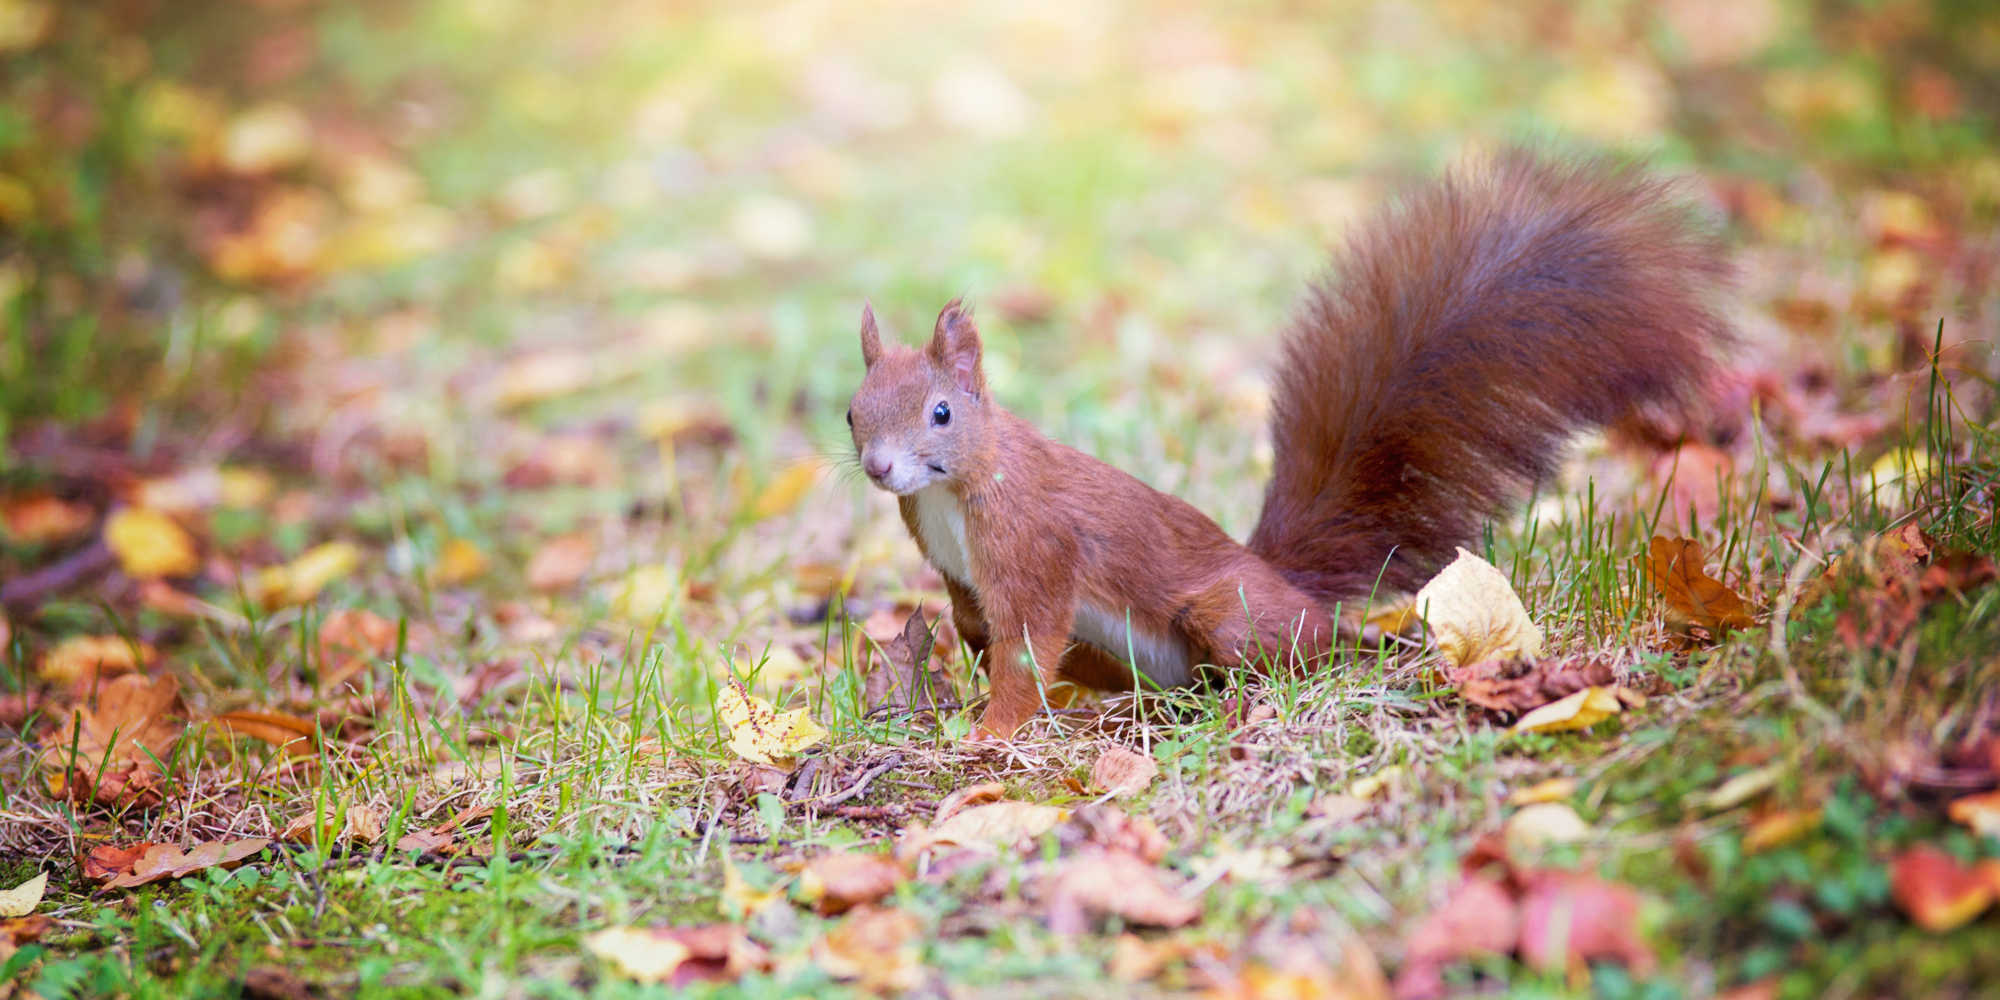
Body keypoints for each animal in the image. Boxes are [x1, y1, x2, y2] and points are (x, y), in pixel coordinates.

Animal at [845, 149, 1730, 738]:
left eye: (941, 414)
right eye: (852, 414)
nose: (880, 468)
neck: (951, 494)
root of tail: (1287, 584)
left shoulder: (1037, 550)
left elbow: (1026, 651)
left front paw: (990, 736)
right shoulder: (959, 574)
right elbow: (983, 632)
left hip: (1225, 612)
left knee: (1295, 657)